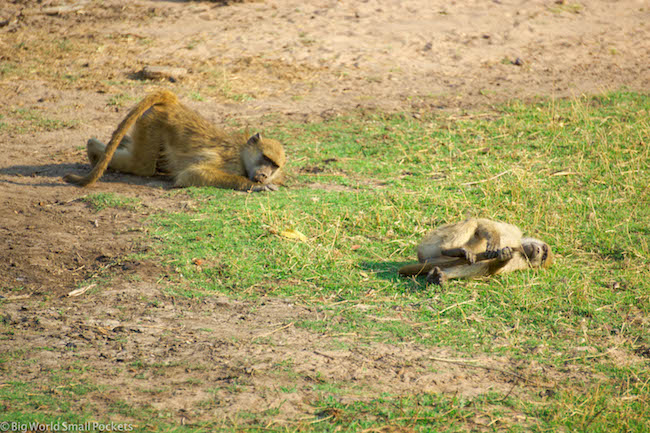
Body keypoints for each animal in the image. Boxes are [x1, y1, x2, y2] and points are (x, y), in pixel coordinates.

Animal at [64, 89, 284, 191]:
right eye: (265, 158)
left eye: (274, 166)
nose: (264, 174)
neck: (241, 152)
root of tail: (173, 102)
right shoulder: (230, 162)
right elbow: (192, 174)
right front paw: (257, 186)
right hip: (154, 120)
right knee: (141, 166)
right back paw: (93, 149)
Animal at [398, 218, 548, 286]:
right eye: (544, 251)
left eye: (543, 257)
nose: (539, 251)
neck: (519, 249)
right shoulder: (514, 233)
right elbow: (484, 223)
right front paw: (494, 242)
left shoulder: (520, 261)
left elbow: (486, 267)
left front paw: (504, 258)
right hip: (431, 242)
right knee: (473, 222)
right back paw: (450, 249)